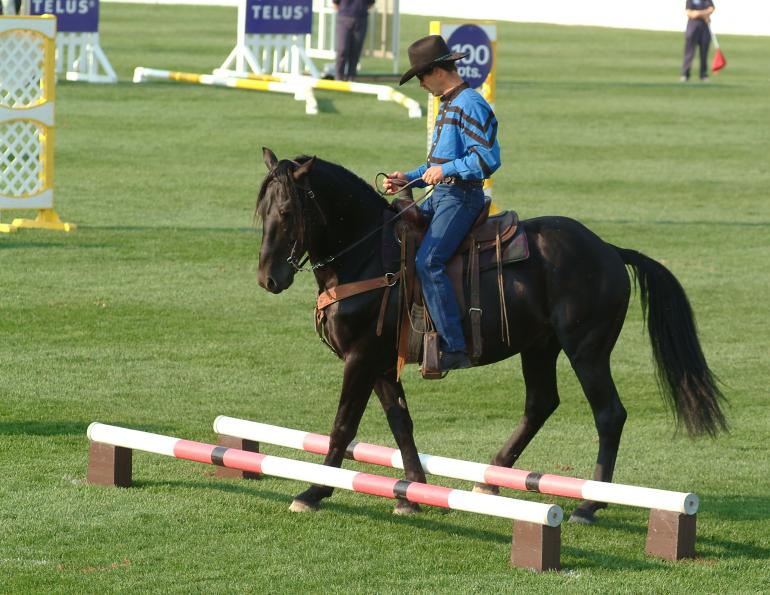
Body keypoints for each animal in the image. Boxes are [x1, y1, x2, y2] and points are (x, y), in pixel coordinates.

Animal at [254, 147, 727, 522]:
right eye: (261, 212)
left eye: (288, 212)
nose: (267, 279)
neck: (370, 255)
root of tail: (609, 250)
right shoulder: (382, 363)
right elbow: (401, 423)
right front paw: (413, 492)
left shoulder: (361, 357)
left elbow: (343, 425)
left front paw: (314, 491)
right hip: (540, 347)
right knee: (541, 403)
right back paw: (492, 476)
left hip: (586, 350)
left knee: (609, 415)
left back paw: (589, 504)